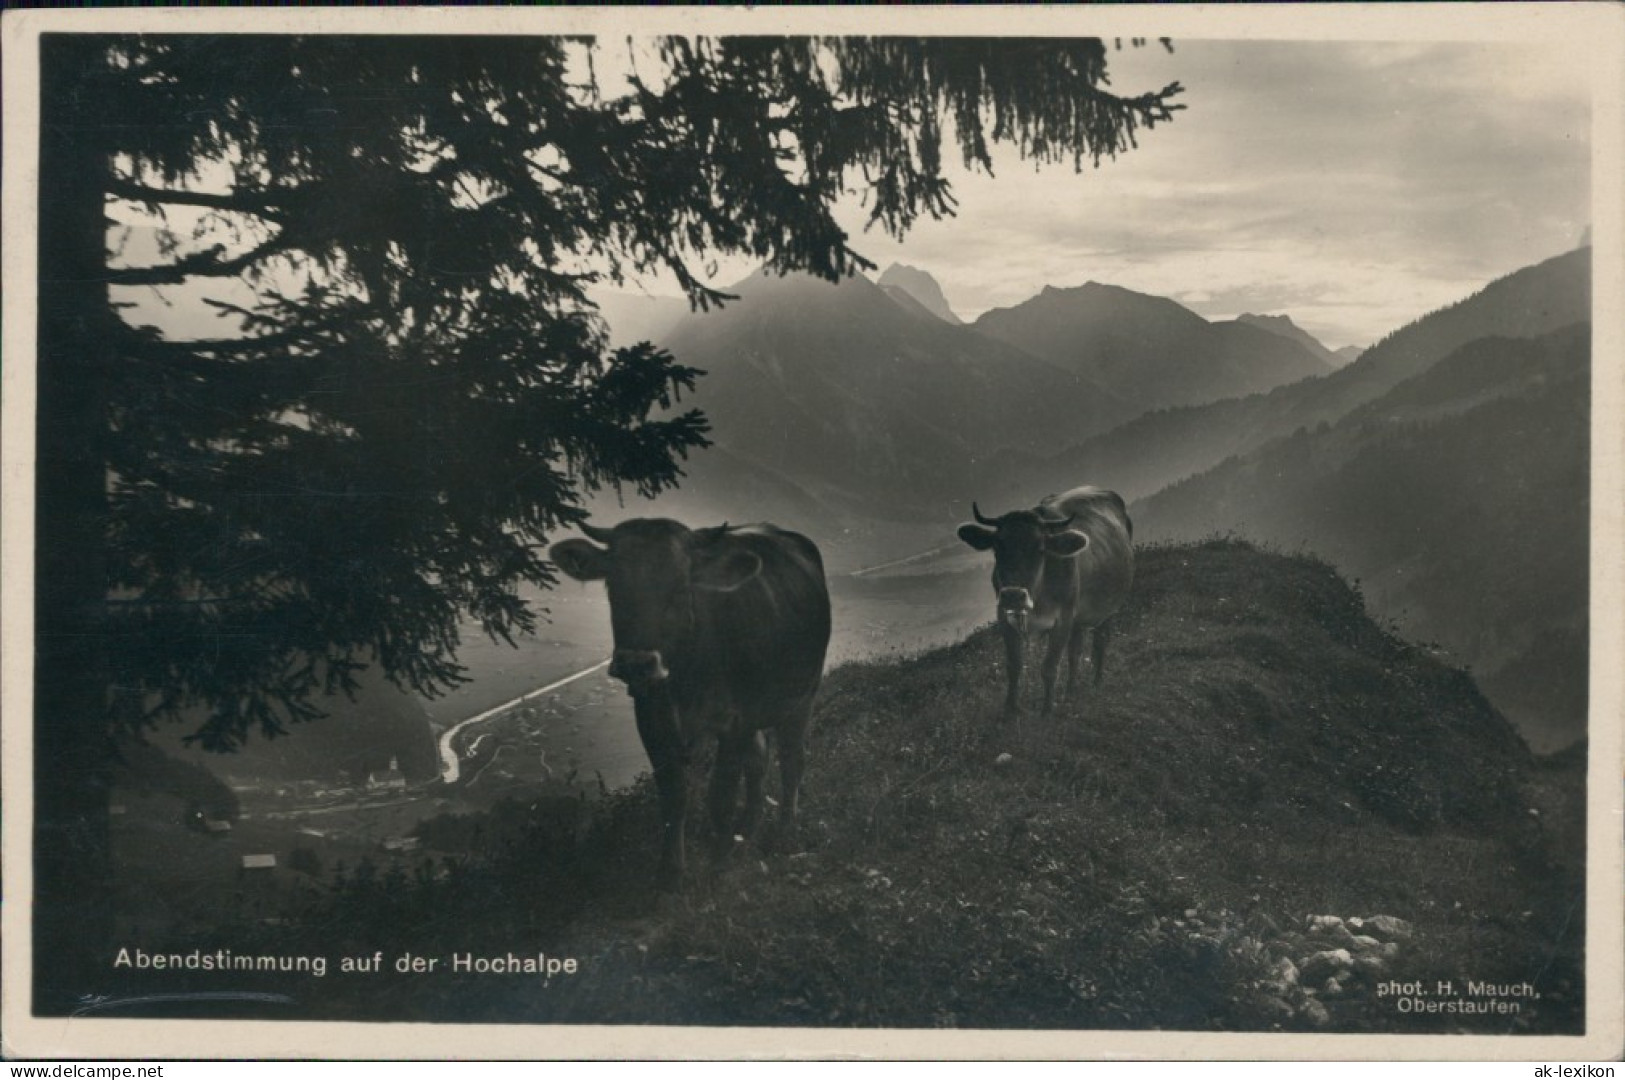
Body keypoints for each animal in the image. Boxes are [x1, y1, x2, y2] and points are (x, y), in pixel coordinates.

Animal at [549, 516, 832, 883]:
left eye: (681, 588)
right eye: (614, 585)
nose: (636, 663)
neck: (684, 677)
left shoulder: (733, 723)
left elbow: (720, 796)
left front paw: (719, 866)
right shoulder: (651, 717)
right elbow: (674, 794)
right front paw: (670, 871)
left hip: (803, 695)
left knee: (792, 760)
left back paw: (784, 833)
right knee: (759, 760)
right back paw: (747, 828)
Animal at [949, 487, 1131, 714]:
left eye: (1040, 548)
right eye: (997, 546)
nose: (1013, 595)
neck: (1038, 598)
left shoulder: (1063, 619)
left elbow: (1049, 667)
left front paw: (1047, 710)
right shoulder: (1004, 617)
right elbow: (1014, 666)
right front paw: (1010, 710)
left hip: (1107, 610)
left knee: (1100, 642)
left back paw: (1096, 683)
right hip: (1078, 619)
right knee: (1075, 652)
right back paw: (1070, 692)